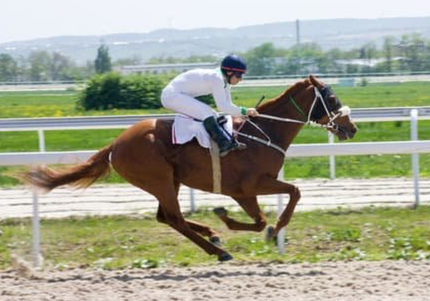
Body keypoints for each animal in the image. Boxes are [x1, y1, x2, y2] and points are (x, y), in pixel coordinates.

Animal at [21, 74, 356, 260]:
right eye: (331, 98)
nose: (351, 128)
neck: (264, 132)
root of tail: (115, 144)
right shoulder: (249, 186)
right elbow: (289, 197)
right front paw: (271, 230)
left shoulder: (243, 191)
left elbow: (263, 217)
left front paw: (232, 221)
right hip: (159, 180)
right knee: (175, 219)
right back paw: (218, 250)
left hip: (170, 181)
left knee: (166, 217)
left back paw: (212, 235)